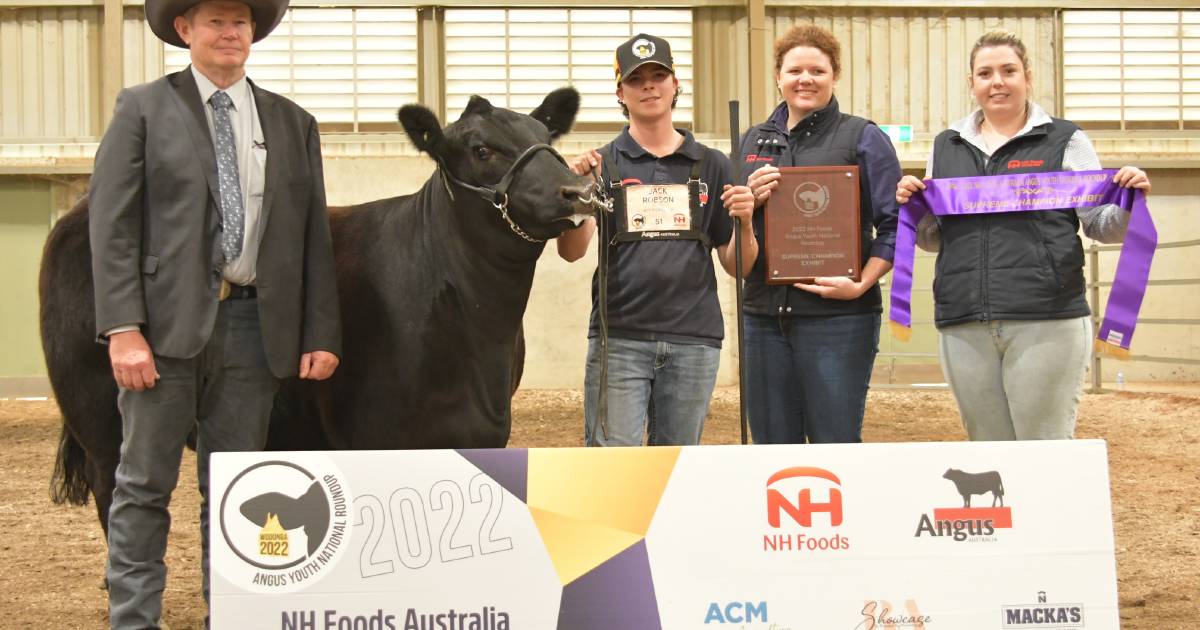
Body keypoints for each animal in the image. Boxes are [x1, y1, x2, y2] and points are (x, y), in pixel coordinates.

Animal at [42, 88, 595, 537]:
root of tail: (78, 210)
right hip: (100, 413)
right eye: (481, 149)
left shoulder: (483, 433)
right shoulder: (376, 437)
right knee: (113, 491)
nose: (577, 190)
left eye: (545, 136)